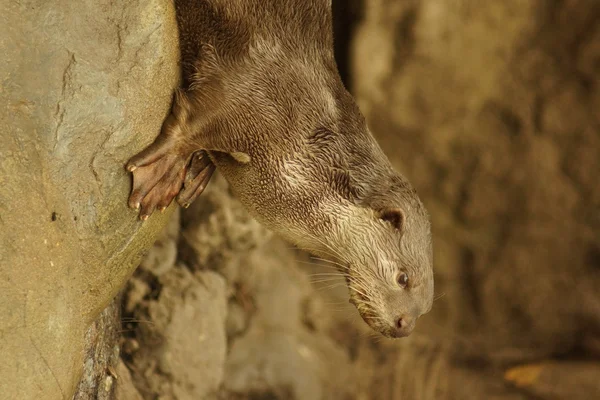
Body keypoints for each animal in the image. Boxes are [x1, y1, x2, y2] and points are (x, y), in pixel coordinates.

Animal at [127, 0, 432, 338]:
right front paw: (162, 171)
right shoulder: (248, 91)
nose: (405, 325)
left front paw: (197, 170)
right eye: (403, 278)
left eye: (425, 308)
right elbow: (191, 124)